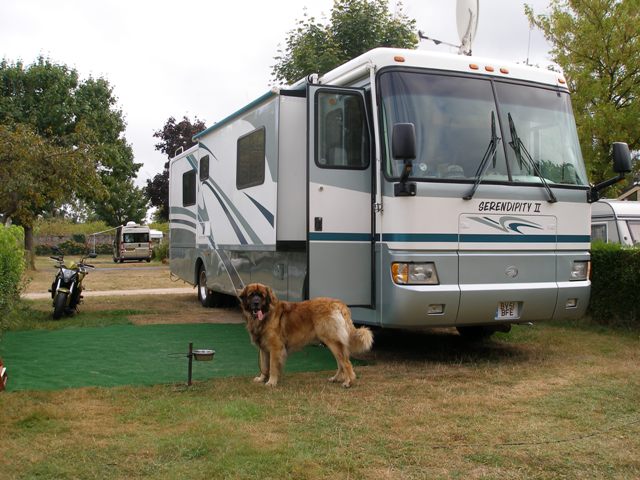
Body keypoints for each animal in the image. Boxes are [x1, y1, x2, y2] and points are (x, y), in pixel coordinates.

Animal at [238, 284, 372, 388]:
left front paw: (271, 382)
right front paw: (262, 378)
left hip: (332, 341)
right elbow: (264, 366)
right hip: (333, 342)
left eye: (262, 296)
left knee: (346, 363)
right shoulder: (264, 348)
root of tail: (337, 303)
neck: (266, 315)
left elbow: (272, 367)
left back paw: (348, 382)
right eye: (251, 295)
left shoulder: (275, 348)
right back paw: (336, 378)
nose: (256, 303)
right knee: (341, 363)